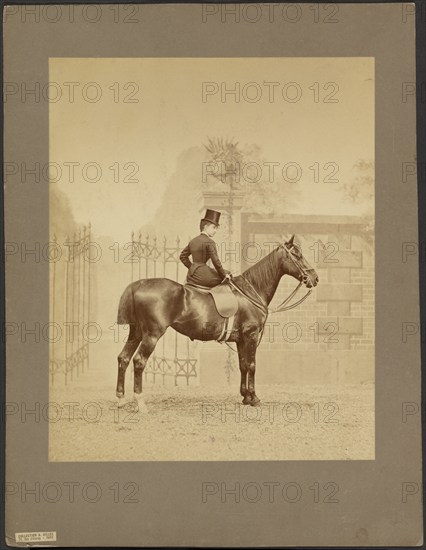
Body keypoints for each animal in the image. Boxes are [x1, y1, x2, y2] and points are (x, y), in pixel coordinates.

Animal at [115, 235, 318, 412]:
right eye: (297, 254)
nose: (315, 278)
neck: (251, 290)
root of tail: (138, 284)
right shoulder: (251, 336)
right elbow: (252, 365)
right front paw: (254, 398)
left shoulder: (241, 339)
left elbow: (243, 365)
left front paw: (245, 397)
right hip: (152, 335)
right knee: (139, 361)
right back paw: (140, 403)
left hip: (136, 333)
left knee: (123, 358)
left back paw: (121, 399)